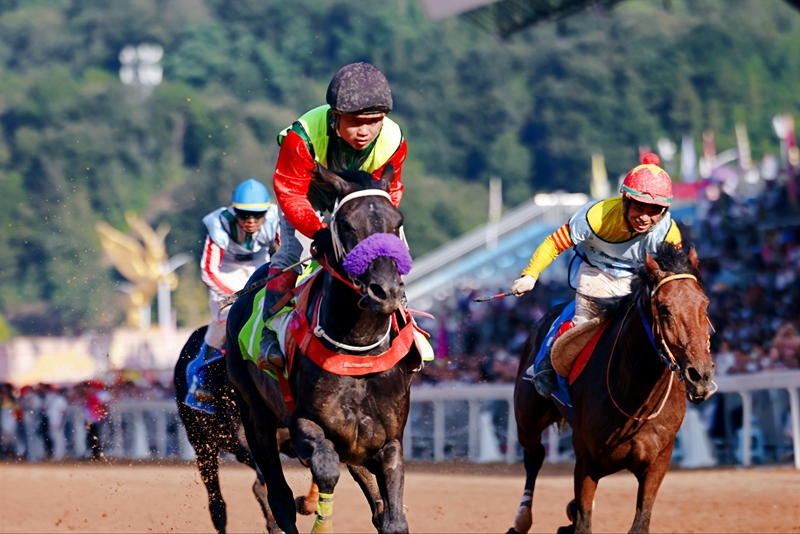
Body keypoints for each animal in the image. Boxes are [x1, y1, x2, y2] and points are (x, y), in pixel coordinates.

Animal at [226, 163, 417, 534]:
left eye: (397, 222)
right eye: (346, 225)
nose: (386, 291)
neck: (358, 352)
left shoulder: (388, 442)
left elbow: (393, 519)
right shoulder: (304, 424)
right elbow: (325, 468)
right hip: (254, 414)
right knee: (279, 497)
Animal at [507, 243, 715, 534]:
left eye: (704, 304)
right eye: (664, 308)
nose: (701, 376)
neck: (635, 398)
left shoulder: (658, 462)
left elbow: (639, 523)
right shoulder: (586, 460)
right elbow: (583, 521)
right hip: (528, 418)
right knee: (534, 456)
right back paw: (521, 519)